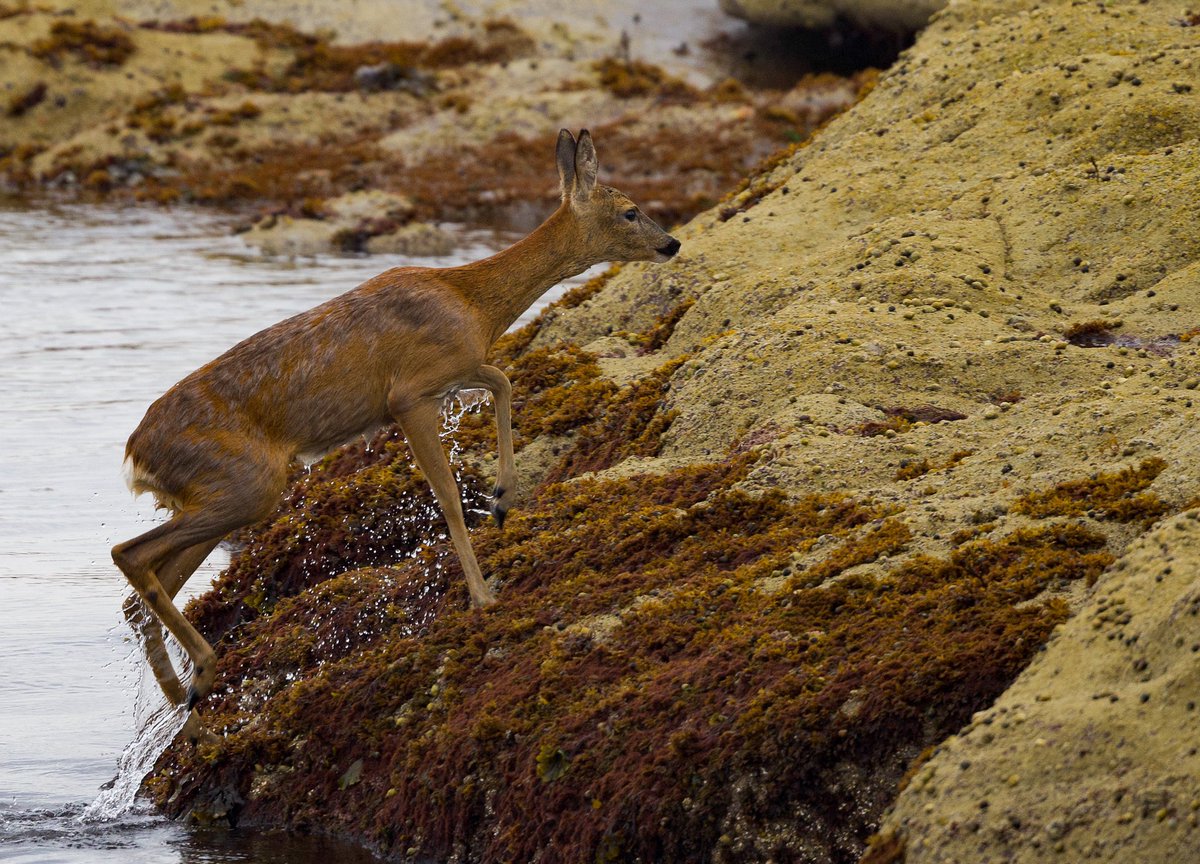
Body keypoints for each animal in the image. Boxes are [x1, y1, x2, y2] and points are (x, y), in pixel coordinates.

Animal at [112, 129, 681, 737]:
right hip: (246, 486)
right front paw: (483, 593)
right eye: (630, 210)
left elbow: (502, 380)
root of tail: (135, 454)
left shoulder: (452, 373)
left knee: (144, 591)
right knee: (130, 554)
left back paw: (188, 707)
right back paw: (202, 672)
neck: (471, 302)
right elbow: (449, 494)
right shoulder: (409, 395)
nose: (671, 243)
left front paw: (503, 499)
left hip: (220, 495)